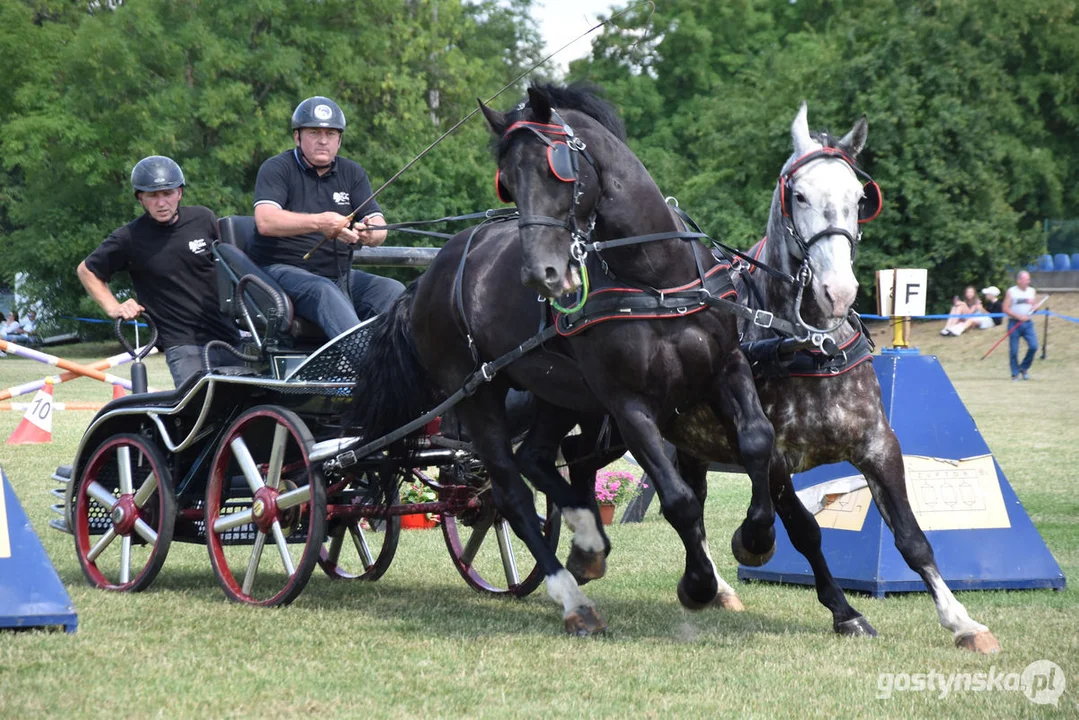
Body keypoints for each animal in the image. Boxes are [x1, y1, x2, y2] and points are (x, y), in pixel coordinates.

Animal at [358, 85, 781, 634]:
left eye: (554, 166)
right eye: (507, 183)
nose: (541, 274)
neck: (655, 276)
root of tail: (427, 279)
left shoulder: (725, 367)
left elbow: (756, 441)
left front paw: (755, 539)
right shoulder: (627, 403)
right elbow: (680, 499)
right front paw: (698, 584)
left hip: (559, 393)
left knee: (537, 458)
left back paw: (588, 540)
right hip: (478, 393)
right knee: (511, 492)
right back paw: (573, 598)